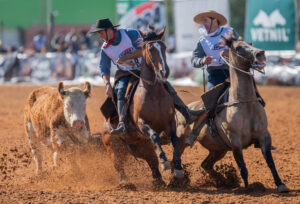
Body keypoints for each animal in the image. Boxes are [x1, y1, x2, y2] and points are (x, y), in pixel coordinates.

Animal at [102, 27, 184, 187]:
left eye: (164, 47)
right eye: (150, 49)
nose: (164, 72)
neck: (153, 92)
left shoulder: (170, 122)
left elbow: (175, 139)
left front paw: (177, 168)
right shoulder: (142, 123)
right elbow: (154, 135)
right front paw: (165, 161)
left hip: (144, 148)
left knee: (153, 164)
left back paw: (159, 181)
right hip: (112, 149)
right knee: (119, 167)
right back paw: (125, 183)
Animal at [175, 33, 290, 193]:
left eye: (250, 43)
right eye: (238, 47)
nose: (260, 54)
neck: (245, 103)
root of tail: (186, 109)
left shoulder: (264, 136)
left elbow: (270, 162)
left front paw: (280, 184)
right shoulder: (235, 141)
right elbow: (242, 166)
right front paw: (247, 188)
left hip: (218, 149)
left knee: (206, 165)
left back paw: (222, 181)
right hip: (181, 142)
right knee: (175, 160)